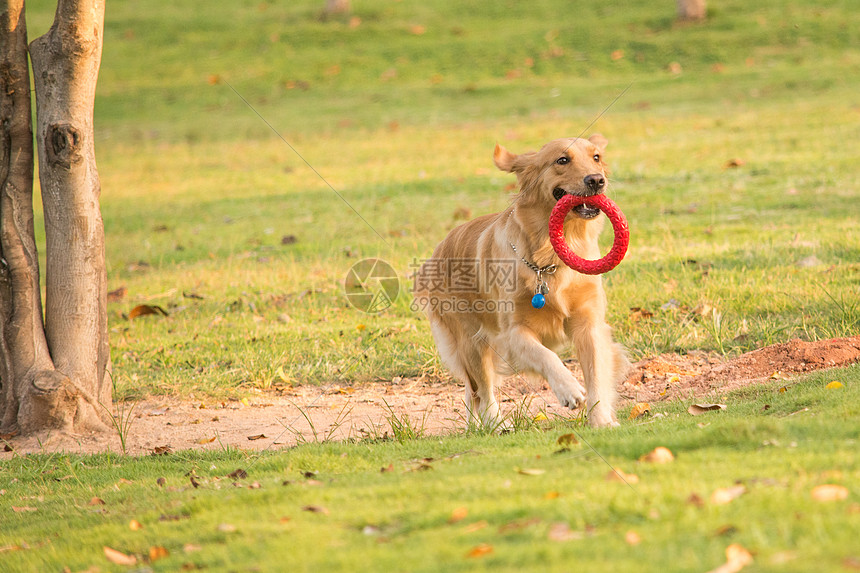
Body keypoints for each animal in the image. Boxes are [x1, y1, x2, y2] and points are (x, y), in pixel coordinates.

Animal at [414, 136, 628, 426]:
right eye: (562, 160)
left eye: (596, 157)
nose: (597, 180)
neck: (549, 259)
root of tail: (438, 249)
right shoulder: (512, 333)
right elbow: (546, 355)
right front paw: (568, 389)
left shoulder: (590, 324)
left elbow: (595, 375)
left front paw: (601, 420)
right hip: (471, 341)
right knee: (482, 391)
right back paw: (495, 425)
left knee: (474, 393)